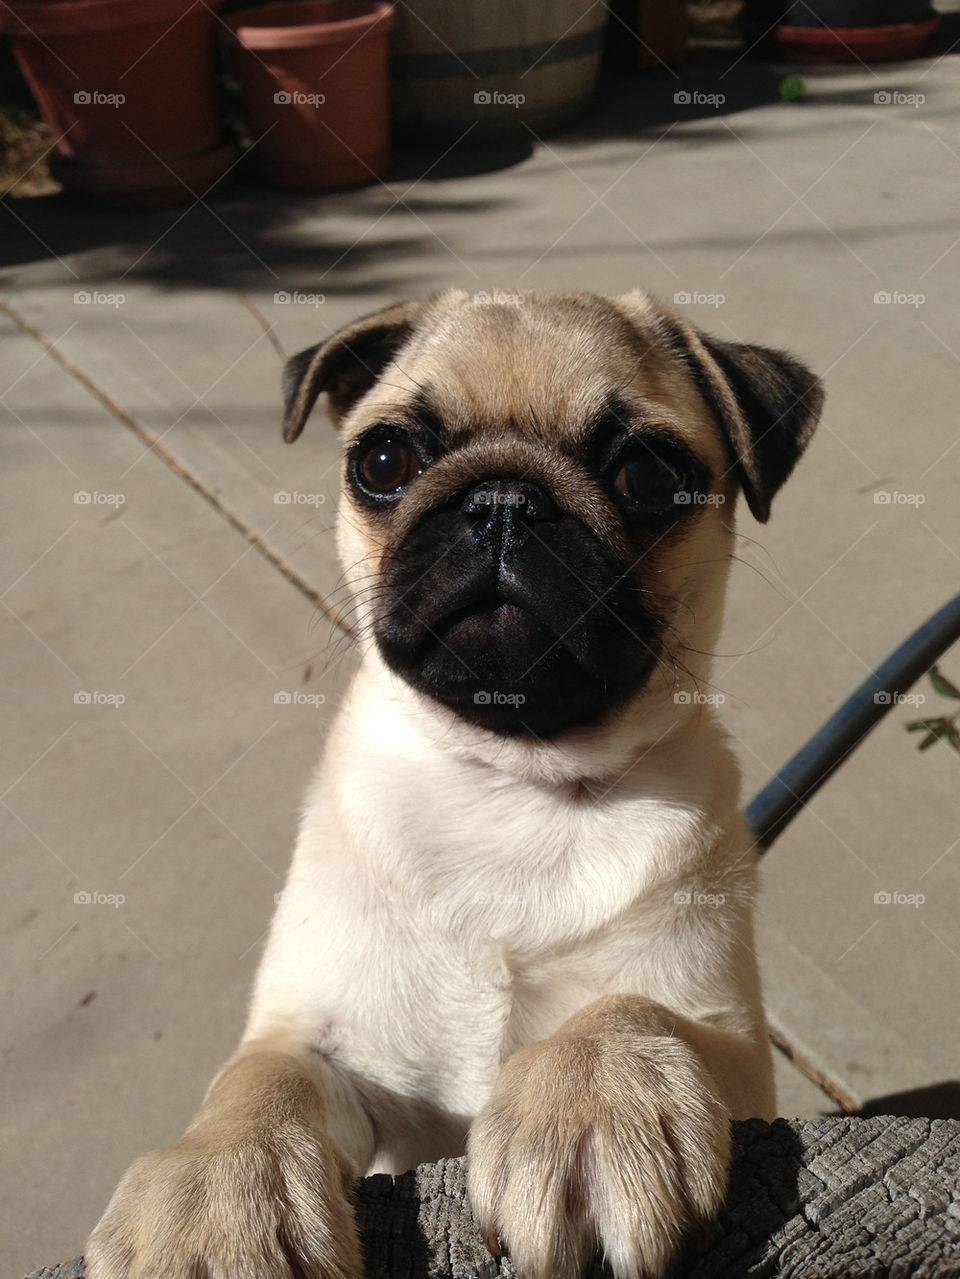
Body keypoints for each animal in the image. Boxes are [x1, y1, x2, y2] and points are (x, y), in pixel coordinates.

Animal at [90, 290, 823, 1279]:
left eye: (646, 473)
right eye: (384, 461)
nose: (503, 499)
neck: (513, 780)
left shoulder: (739, 1051)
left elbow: (627, 1005)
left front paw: (591, 1092)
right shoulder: (321, 1039)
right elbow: (257, 1077)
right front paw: (212, 1191)